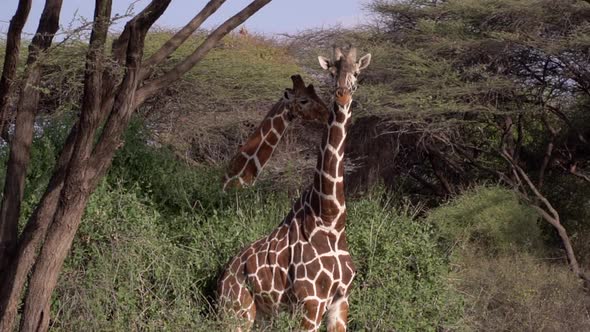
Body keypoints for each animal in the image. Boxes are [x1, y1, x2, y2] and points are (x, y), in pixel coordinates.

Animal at [220, 45, 372, 330]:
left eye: (357, 73)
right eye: (332, 72)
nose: (342, 95)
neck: (330, 218)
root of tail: (222, 278)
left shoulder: (341, 301)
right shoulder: (311, 302)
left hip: (262, 316)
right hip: (238, 311)